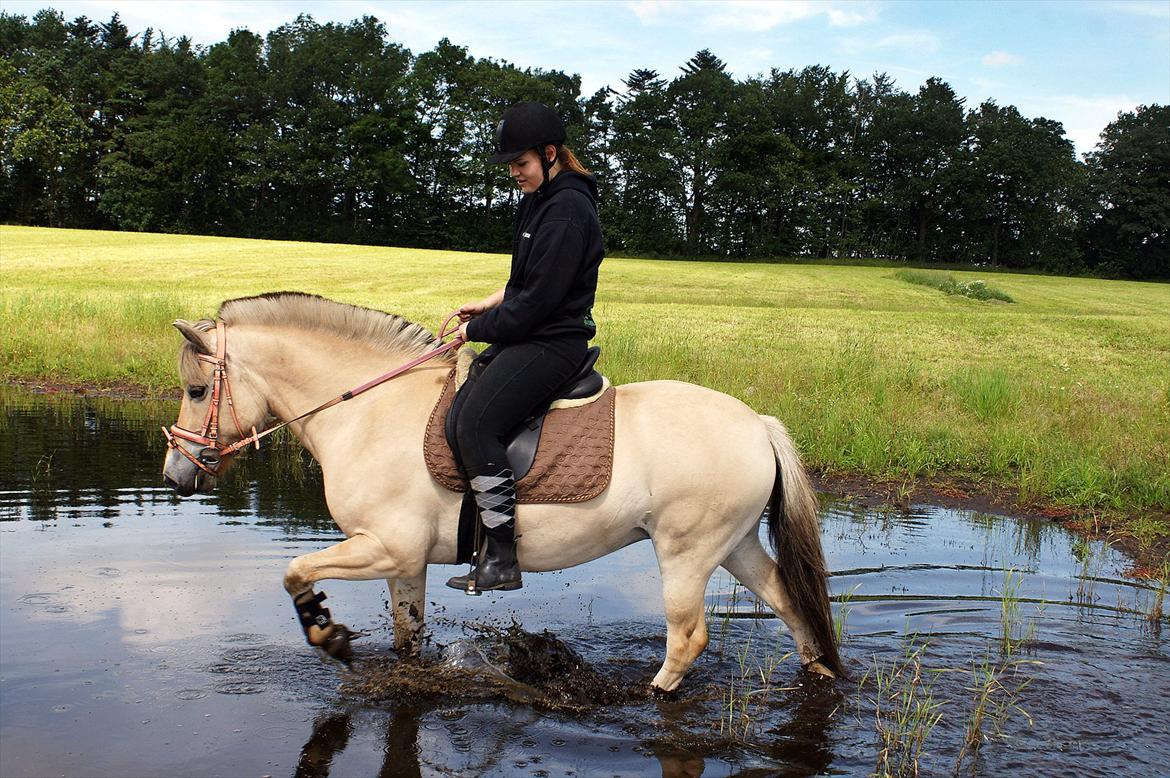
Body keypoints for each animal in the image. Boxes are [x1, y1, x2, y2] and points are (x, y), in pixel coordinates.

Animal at [162, 291, 842, 687]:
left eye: (197, 390)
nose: (175, 474)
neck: (367, 412)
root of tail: (756, 424)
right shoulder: (405, 561)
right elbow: (408, 637)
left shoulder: (384, 545)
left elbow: (295, 571)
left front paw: (327, 635)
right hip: (734, 544)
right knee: (790, 602)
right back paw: (819, 675)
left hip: (687, 552)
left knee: (688, 637)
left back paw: (652, 698)